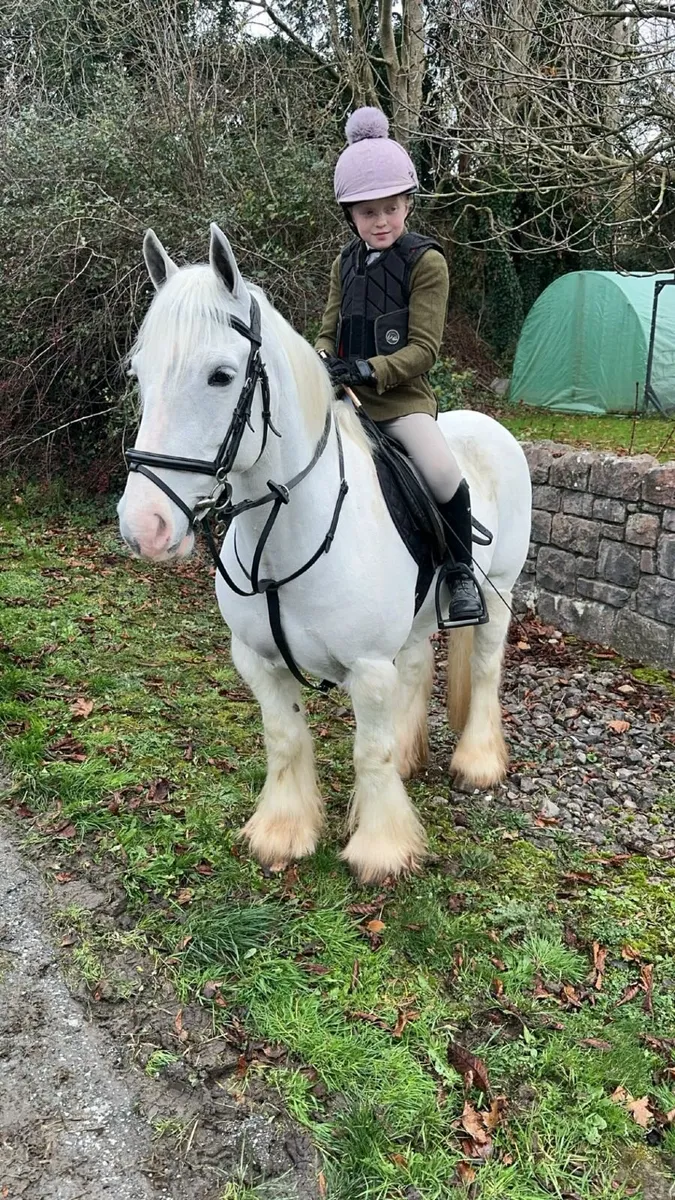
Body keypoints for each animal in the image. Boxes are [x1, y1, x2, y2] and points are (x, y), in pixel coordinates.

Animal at [118, 224, 532, 885]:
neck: (284, 533)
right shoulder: (258, 661)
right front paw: (282, 833)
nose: (144, 526)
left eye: (221, 376)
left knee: (488, 665)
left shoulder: (366, 666)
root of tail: (487, 425)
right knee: (418, 662)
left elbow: (369, 750)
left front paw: (382, 849)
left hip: (501, 589)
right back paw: (414, 756)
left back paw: (477, 761)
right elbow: (285, 738)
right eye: (140, 373)